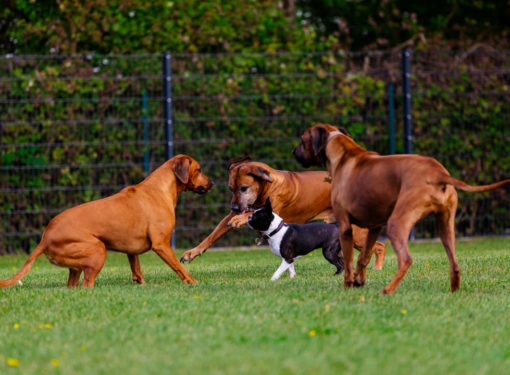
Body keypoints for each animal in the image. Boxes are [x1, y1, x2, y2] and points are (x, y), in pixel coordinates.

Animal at [0, 154, 212, 290]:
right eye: (199, 170)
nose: (212, 183)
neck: (159, 189)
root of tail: (45, 237)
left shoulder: (131, 251)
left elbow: (137, 271)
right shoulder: (162, 245)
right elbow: (179, 267)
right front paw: (192, 282)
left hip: (77, 265)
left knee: (73, 286)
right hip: (97, 250)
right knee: (87, 285)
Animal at [178, 156, 382, 270]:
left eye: (243, 188)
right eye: (230, 188)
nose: (234, 208)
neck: (267, 186)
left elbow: (249, 215)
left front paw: (239, 219)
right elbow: (213, 234)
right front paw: (193, 252)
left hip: (354, 231)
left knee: (379, 246)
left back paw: (376, 268)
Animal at [292, 125, 508, 296]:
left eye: (302, 140)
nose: (294, 152)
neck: (344, 155)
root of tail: (437, 172)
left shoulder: (345, 226)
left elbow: (348, 262)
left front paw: (348, 286)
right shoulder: (374, 226)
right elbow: (363, 258)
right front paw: (360, 281)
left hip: (397, 223)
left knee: (406, 260)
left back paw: (388, 290)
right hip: (445, 225)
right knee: (454, 263)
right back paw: (454, 292)